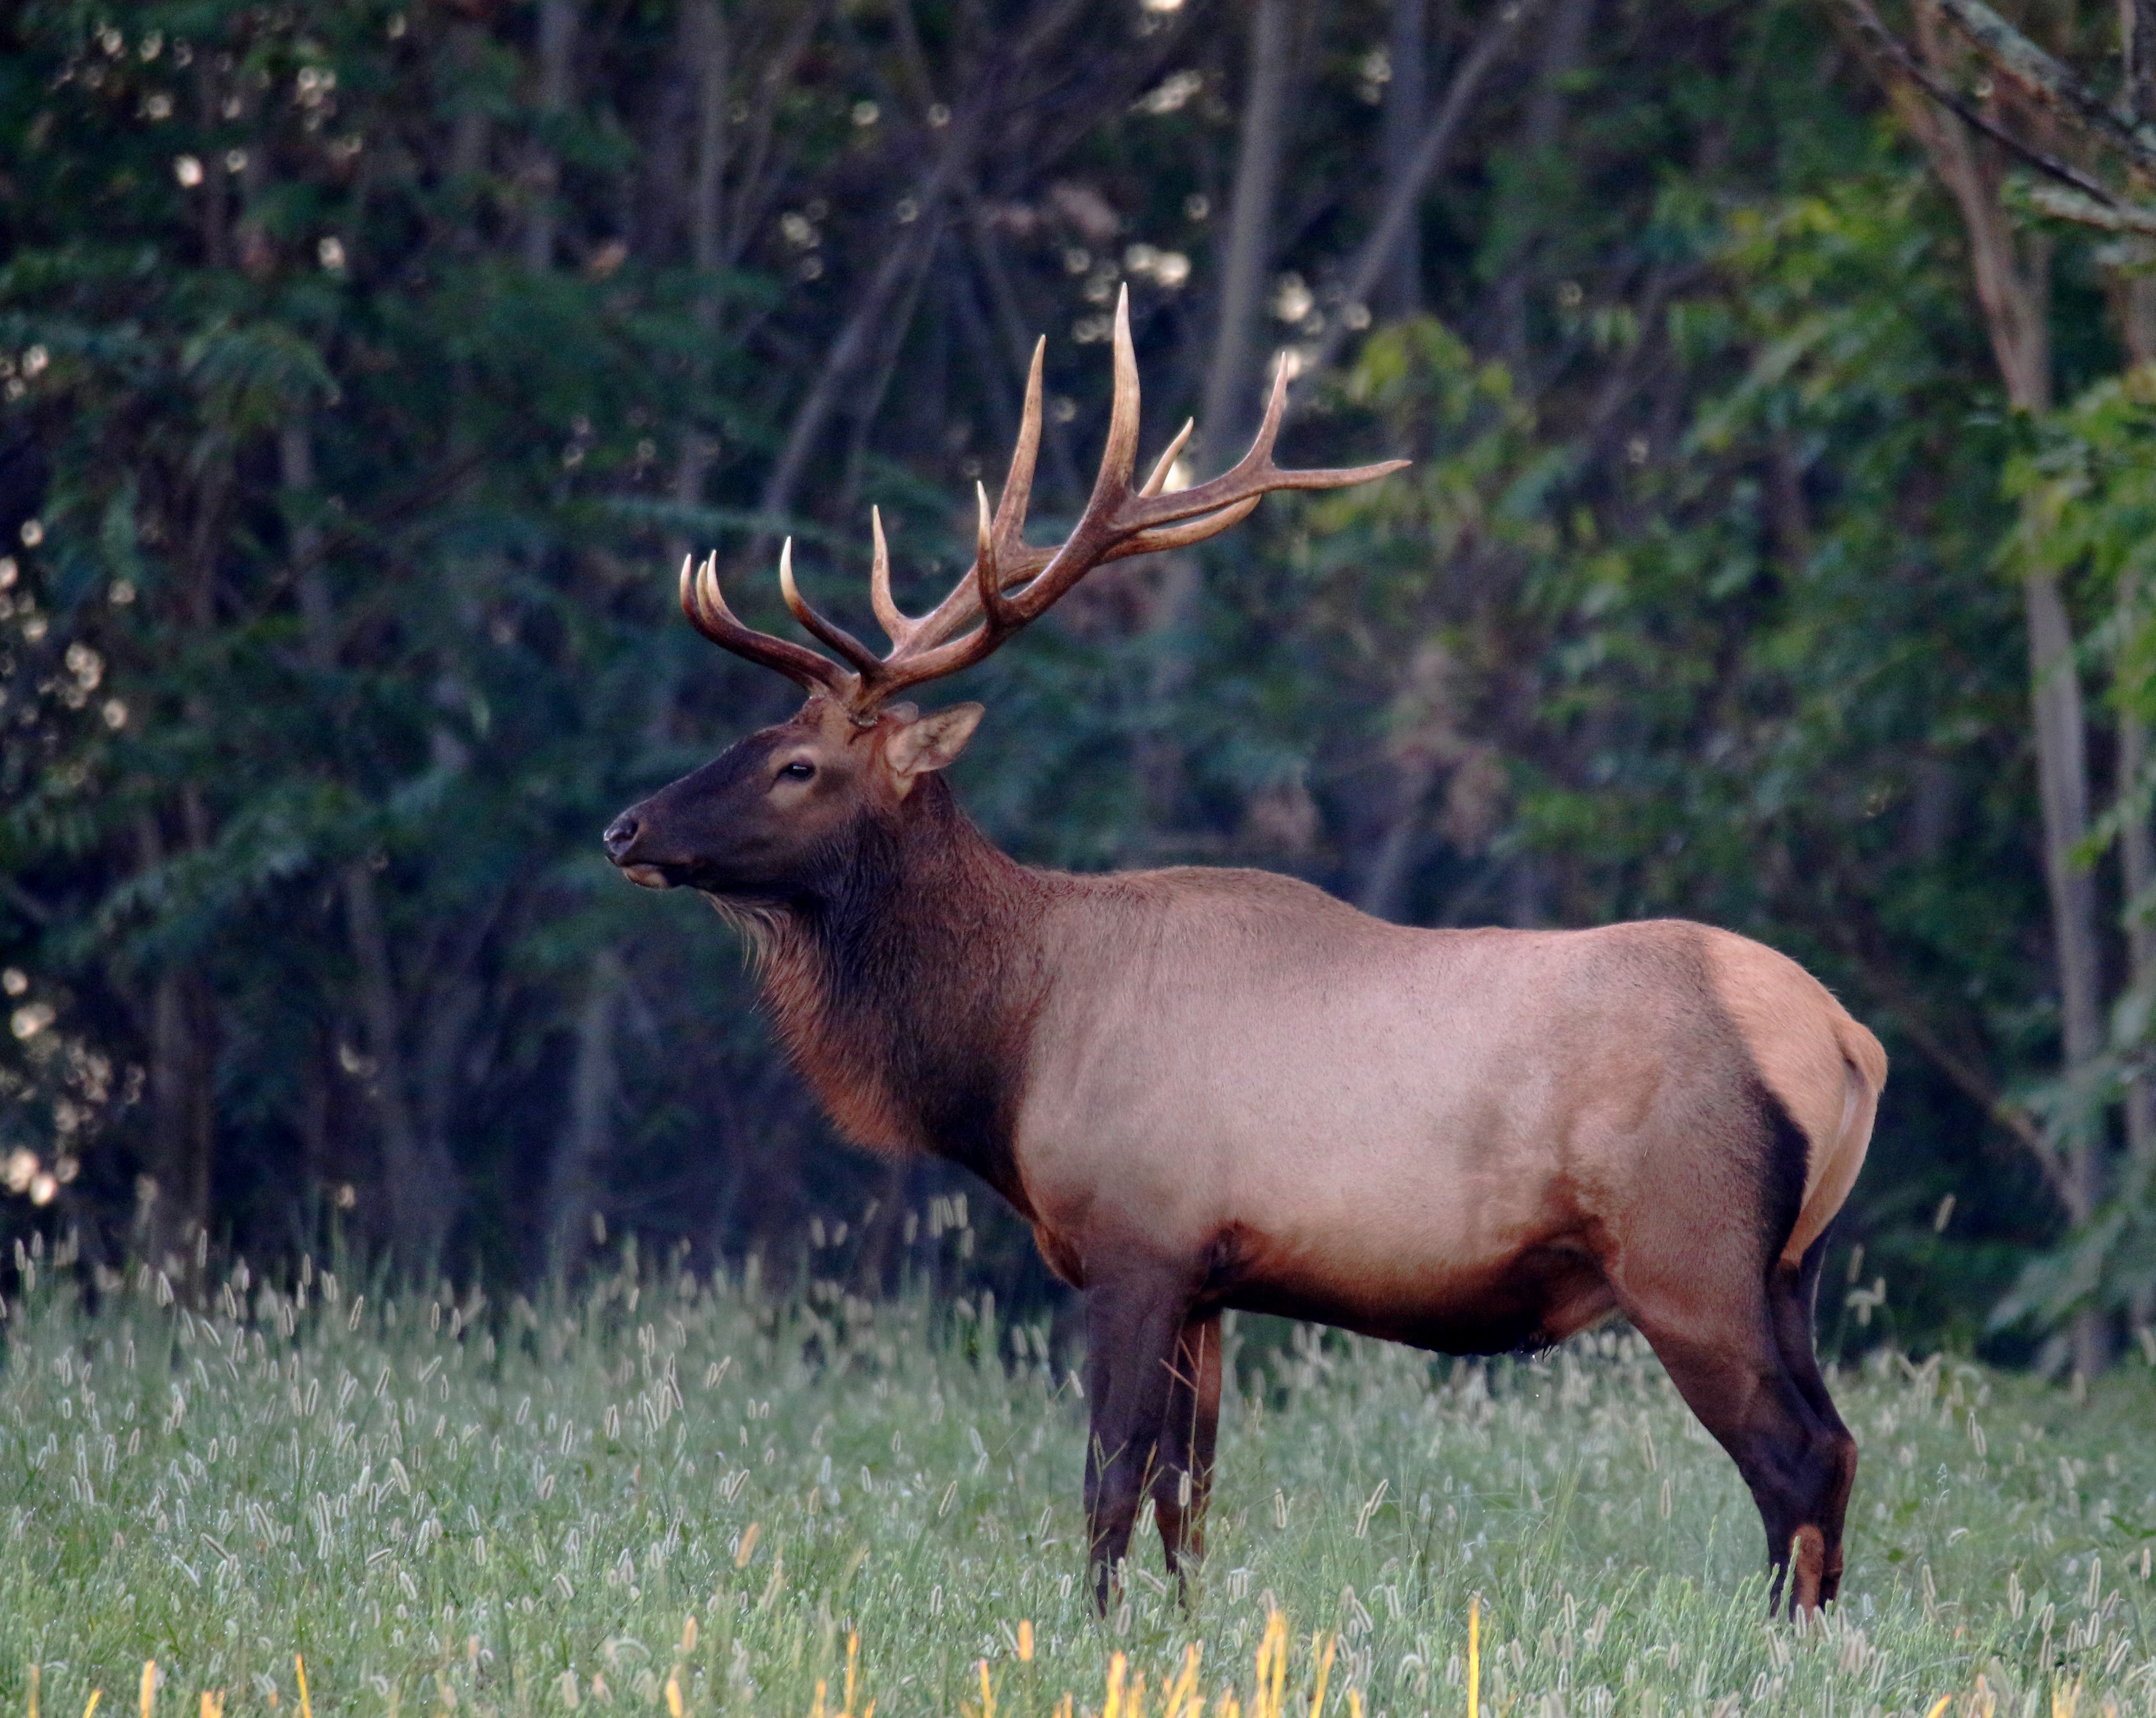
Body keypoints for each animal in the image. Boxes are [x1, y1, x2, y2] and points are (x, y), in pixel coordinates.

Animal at [608, 289, 1888, 1612]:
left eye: (796, 764)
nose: (627, 828)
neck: (1010, 1038)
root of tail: (1844, 1039)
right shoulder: (1211, 1281)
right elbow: (1189, 1497)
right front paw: (1183, 1625)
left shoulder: (1136, 1236)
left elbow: (1110, 1476)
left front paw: (1092, 1625)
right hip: (1791, 1264)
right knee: (1837, 1444)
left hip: (1687, 1251)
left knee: (1793, 1454)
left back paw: (1774, 1634)